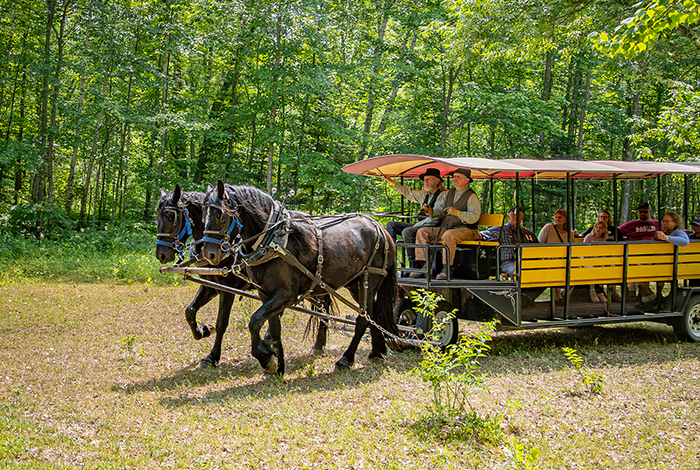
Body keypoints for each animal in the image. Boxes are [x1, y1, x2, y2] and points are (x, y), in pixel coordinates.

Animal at [155, 184, 328, 368]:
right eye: (156, 218)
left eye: (171, 217)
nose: (161, 255)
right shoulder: (210, 285)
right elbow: (190, 311)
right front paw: (203, 331)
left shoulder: (228, 288)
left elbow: (222, 323)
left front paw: (212, 355)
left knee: (324, 306)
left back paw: (318, 345)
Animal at [202, 179, 400, 374]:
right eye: (204, 213)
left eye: (220, 215)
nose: (209, 254)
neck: (273, 239)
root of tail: (381, 228)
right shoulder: (266, 294)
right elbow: (274, 329)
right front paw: (278, 364)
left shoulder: (285, 294)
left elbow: (255, 322)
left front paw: (266, 358)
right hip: (354, 284)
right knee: (372, 313)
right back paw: (377, 351)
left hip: (370, 279)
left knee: (363, 319)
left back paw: (346, 358)